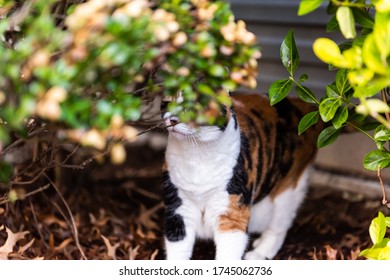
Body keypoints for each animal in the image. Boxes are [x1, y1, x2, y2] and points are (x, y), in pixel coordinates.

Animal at [160, 93, 322, 260]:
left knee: (279, 225)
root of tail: (302, 104)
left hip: (287, 190)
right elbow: (177, 246)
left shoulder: (232, 213)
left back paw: (259, 253)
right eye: (167, 103)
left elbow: (228, 253)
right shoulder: (178, 208)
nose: (173, 120)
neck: (196, 154)